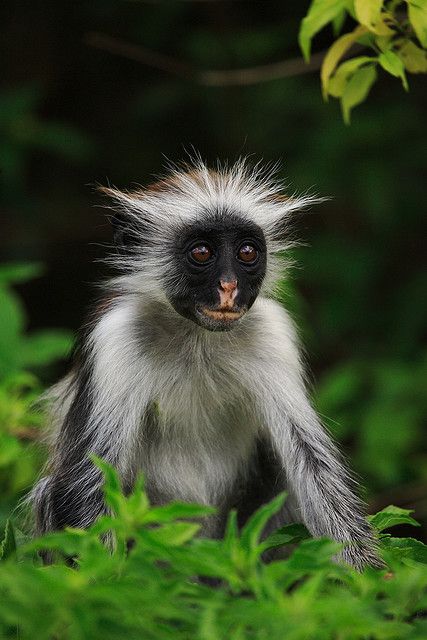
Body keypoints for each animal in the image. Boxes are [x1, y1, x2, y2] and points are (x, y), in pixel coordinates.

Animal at [32, 160, 382, 568]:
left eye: (247, 252)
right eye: (201, 253)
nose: (229, 287)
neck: (199, 340)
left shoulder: (273, 334)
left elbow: (316, 468)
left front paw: (372, 579)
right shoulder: (114, 339)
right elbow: (88, 484)